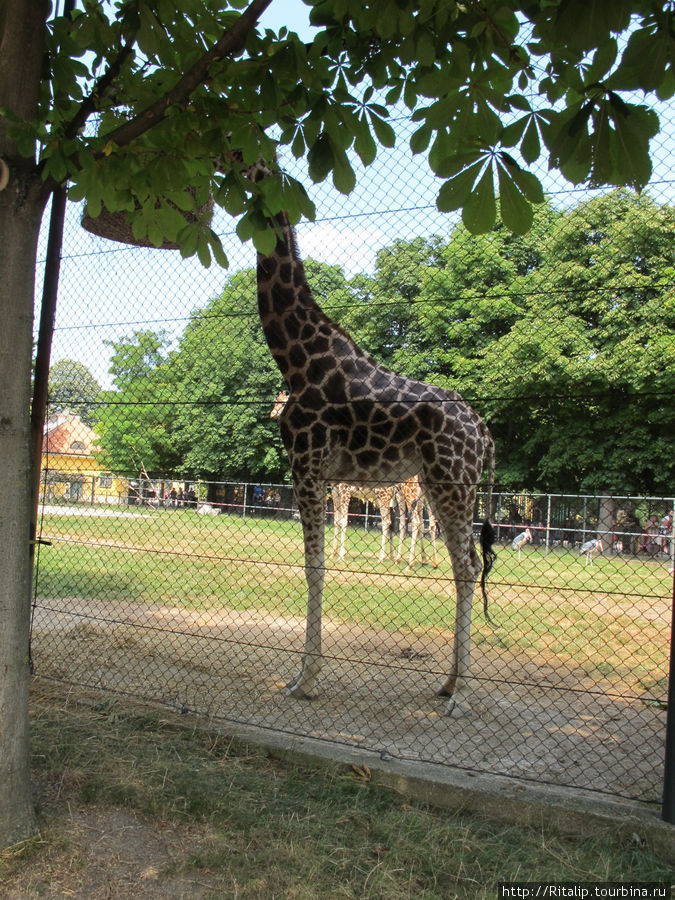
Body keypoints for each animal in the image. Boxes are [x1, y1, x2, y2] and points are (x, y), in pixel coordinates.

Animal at [254, 169, 496, 716]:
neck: (297, 360)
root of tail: (485, 432)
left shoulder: (308, 463)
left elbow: (315, 566)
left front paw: (306, 680)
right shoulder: (325, 475)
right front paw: (302, 675)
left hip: (451, 484)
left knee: (469, 564)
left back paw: (460, 695)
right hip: (443, 484)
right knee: (462, 564)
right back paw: (448, 683)